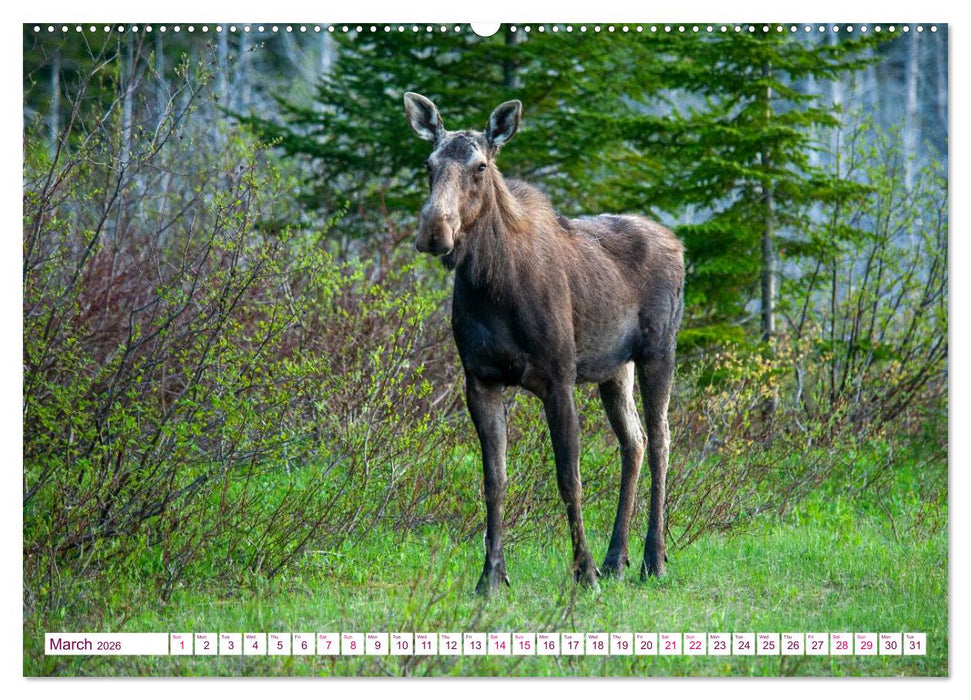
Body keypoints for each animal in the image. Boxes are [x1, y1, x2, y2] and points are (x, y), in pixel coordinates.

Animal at [403, 92, 685, 594]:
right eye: (428, 164)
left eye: (479, 166)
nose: (434, 231)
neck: (492, 286)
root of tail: (679, 245)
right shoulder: (480, 381)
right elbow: (494, 481)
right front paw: (491, 576)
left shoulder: (558, 378)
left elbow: (569, 479)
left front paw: (584, 571)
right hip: (615, 368)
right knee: (633, 442)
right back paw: (617, 558)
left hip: (659, 352)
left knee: (660, 442)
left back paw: (652, 559)